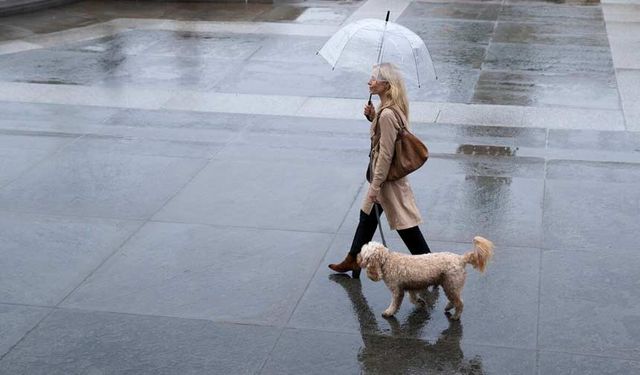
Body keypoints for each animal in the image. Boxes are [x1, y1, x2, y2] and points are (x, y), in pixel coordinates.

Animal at [358, 238, 492, 320]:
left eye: (363, 253)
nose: (357, 258)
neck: (387, 261)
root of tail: (460, 258)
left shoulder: (397, 290)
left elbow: (395, 303)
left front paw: (389, 312)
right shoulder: (411, 286)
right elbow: (413, 299)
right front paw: (420, 302)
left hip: (451, 284)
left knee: (459, 303)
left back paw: (456, 316)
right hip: (449, 285)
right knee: (454, 299)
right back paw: (449, 307)